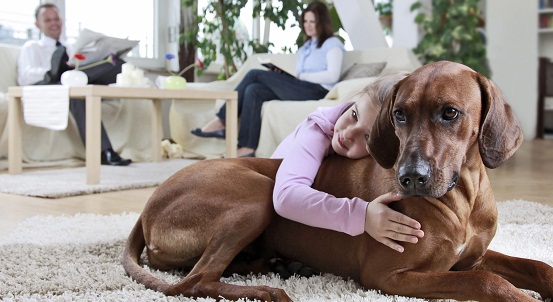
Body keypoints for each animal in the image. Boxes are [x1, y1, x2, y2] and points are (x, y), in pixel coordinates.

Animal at [122, 62, 552, 302]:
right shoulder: (388, 276)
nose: (410, 177)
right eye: (399, 114)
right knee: (195, 281)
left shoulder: (471, 256)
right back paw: (266, 289)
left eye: (450, 113)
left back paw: (276, 265)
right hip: (257, 193)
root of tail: (146, 209)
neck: (463, 196)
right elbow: (486, 281)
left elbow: (537, 266)